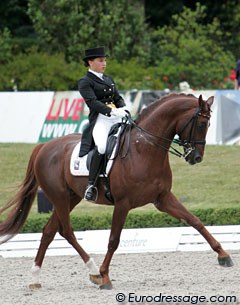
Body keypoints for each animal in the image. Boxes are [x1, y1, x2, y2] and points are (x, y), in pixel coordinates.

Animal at [0, 94, 232, 288]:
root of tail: (44, 147)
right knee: (67, 231)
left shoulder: (163, 198)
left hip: (70, 198)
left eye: (209, 124)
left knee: (49, 231)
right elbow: (113, 240)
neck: (144, 149)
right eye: (201, 124)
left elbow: (194, 220)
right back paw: (94, 271)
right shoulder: (123, 203)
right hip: (59, 197)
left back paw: (35, 278)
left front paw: (223, 255)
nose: (196, 158)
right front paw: (104, 276)